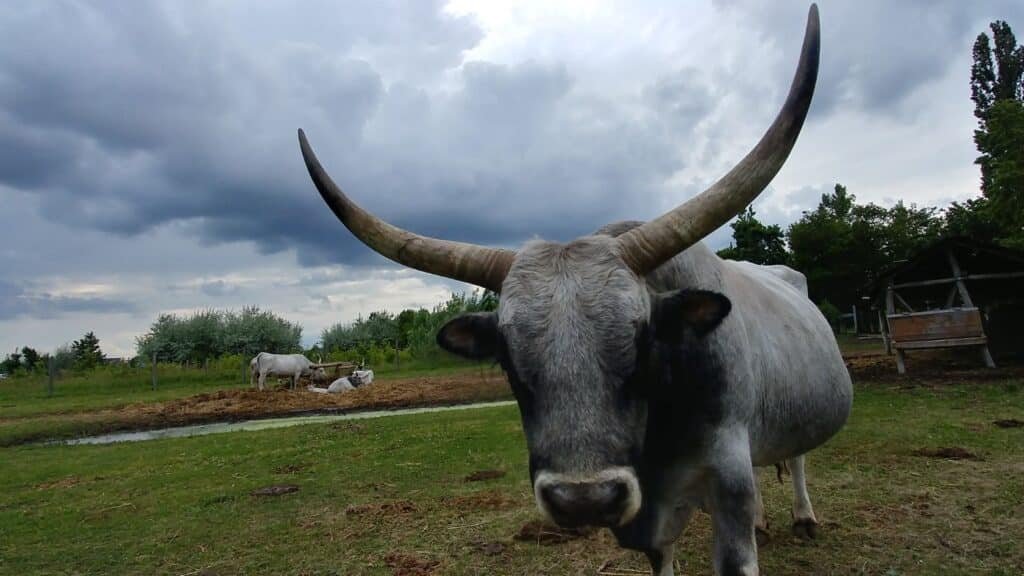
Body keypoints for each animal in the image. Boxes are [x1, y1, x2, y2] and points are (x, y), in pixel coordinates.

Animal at [296, 5, 847, 573]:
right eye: (507, 360)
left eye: (644, 343)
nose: (584, 500)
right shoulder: (651, 525)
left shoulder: (728, 486)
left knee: (796, 458)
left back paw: (803, 516)